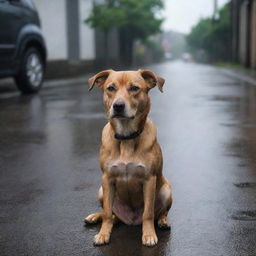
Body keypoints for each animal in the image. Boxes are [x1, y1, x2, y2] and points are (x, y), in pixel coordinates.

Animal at [85, 68, 172, 246]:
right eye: (110, 88)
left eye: (134, 88)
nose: (118, 106)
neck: (126, 138)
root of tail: (130, 220)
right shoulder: (107, 179)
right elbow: (106, 213)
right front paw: (103, 234)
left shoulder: (149, 179)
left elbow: (148, 213)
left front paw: (148, 234)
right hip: (101, 191)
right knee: (110, 215)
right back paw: (95, 217)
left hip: (166, 190)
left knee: (161, 212)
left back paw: (163, 221)